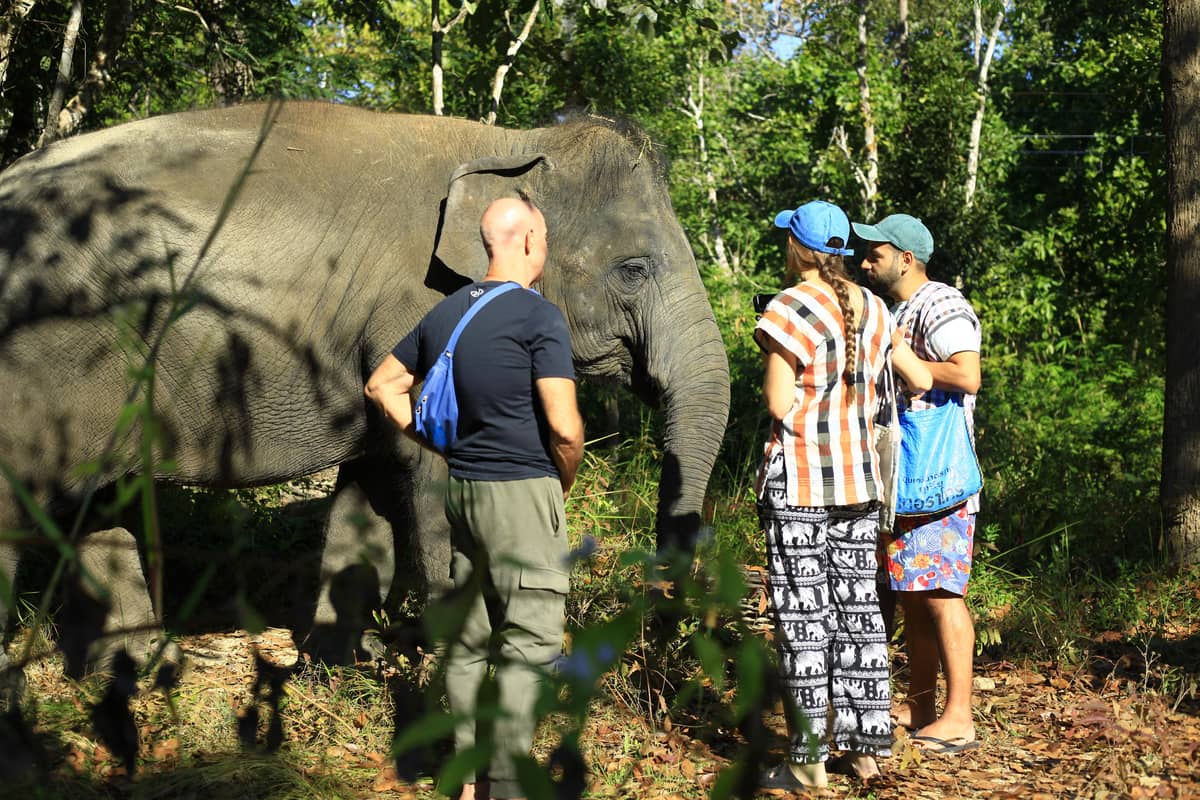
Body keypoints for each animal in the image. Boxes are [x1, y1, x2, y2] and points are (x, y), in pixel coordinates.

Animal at [0, 100, 730, 670]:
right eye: (634, 269)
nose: (663, 624)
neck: (513, 144)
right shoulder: (423, 313)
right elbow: (431, 470)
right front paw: (456, 662)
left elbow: (371, 487)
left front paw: (343, 661)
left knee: (102, 503)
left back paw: (139, 671)